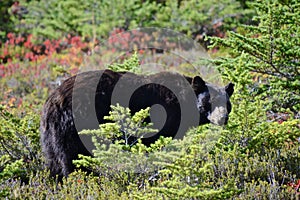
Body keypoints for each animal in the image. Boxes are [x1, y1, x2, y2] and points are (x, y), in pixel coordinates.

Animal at [39, 69, 234, 179]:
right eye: (209, 101)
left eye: (227, 104)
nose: (222, 118)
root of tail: (53, 101)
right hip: (76, 125)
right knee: (73, 159)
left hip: (51, 136)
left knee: (55, 162)